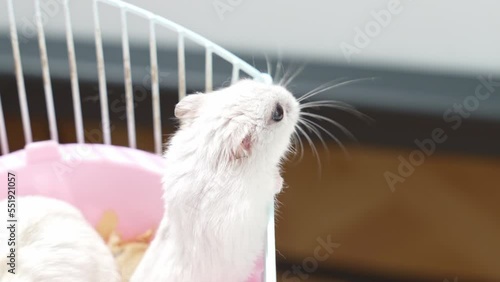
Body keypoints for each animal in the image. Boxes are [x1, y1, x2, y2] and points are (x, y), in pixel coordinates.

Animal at [131, 79, 298, 282]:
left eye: (243, 82)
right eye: (278, 113)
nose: (295, 100)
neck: (210, 151)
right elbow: (272, 182)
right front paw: (280, 179)